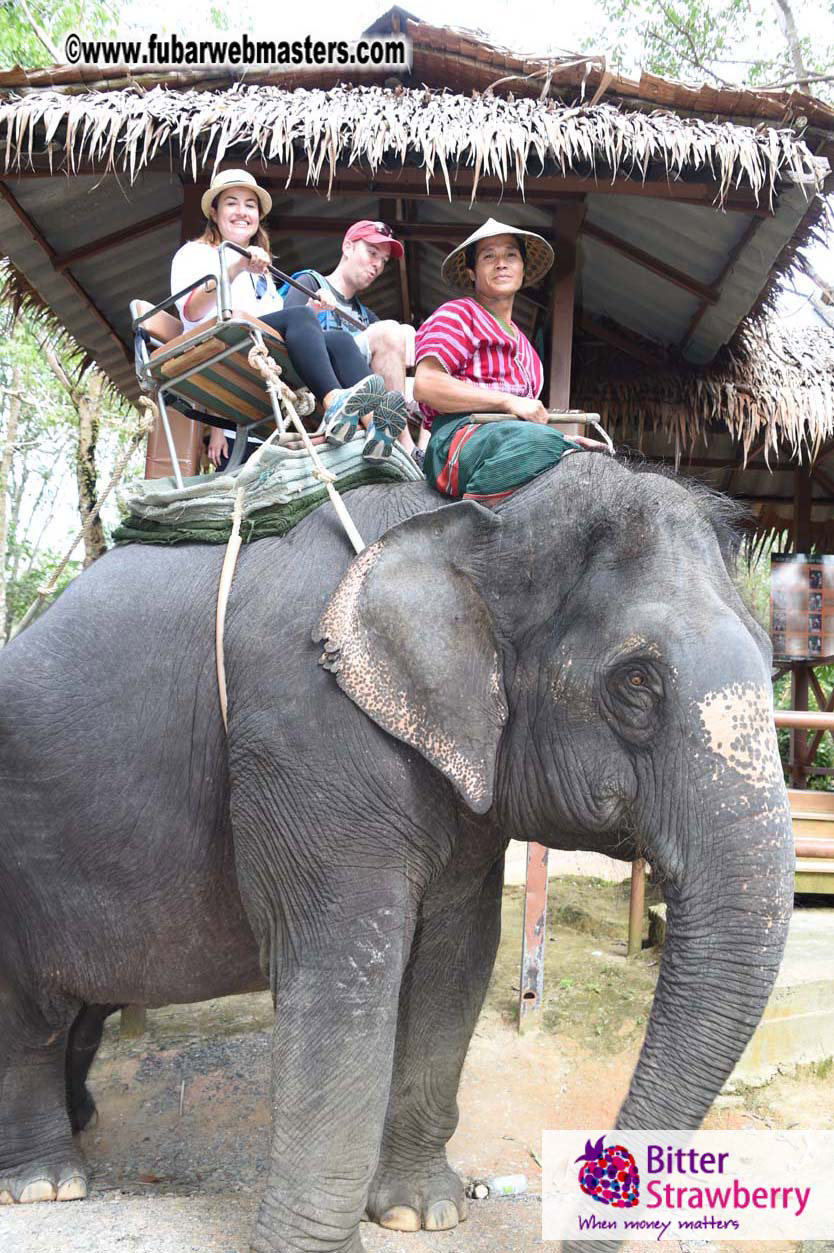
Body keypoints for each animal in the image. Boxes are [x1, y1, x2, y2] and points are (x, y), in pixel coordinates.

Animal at [0, 451, 794, 1252]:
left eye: (773, 664)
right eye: (636, 680)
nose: (589, 1201)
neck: (487, 518)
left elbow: (458, 957)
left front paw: (421, 1213)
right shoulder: (309, 736)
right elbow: (344, 969)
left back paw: (78, 1126)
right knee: (27, 1020)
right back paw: (46, 1184)